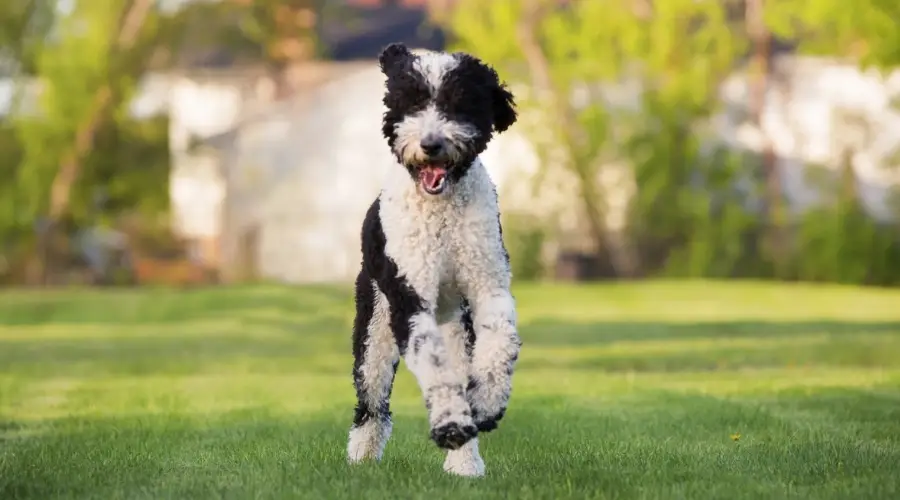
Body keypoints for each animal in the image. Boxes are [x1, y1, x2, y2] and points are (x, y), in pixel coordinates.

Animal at [348, 44, 524, 476]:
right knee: (372, 402)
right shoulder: (409, 299)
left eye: (459, 103)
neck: (441, 211)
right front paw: (450, 425)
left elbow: (501, 338)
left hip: (456, 325)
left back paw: (465, 463)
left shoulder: (487, 284)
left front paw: (487, 403)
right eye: (410, 101)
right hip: (374, 330)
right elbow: (431, 363)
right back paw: (362, 457)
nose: (430, 144)